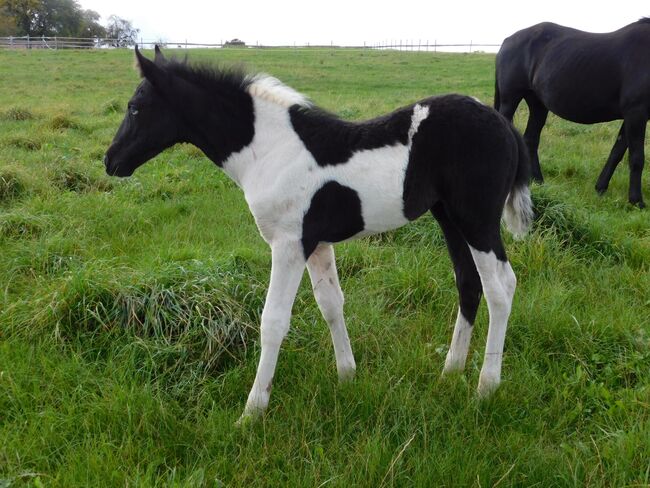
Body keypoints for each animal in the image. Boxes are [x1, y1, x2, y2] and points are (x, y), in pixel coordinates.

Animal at [105, 46, 532, 424]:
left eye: (135, 107)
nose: (110, 161)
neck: (270, 150)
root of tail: (505, 125)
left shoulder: (289, 245)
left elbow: (273, 321)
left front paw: (252, 412)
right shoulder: (318, 245)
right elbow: (331, 304)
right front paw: (347, 376)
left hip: (477, 220)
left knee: (500, 288)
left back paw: (485, 387)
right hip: (448, 217)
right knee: (468, 282)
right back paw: (450, 370)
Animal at [494, 19, 644, 208]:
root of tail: (507, 40)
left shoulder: (631, 116)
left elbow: (616, 152)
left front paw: (600, 188)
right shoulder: (636, 113)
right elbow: (637, 157)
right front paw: (637, 201)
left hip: (538, 104)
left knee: (531, 139)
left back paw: (538, 181)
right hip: (510, 99)